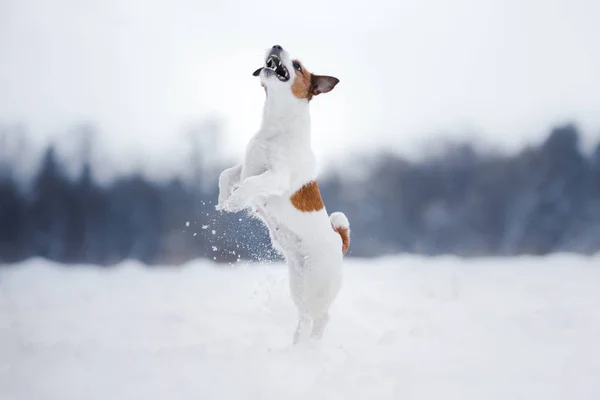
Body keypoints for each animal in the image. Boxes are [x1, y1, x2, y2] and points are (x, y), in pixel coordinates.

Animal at [216, 44, 350, 344]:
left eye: (298, 66)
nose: (276, 45)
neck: (274, 128)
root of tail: (339, 242)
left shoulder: (276, 177)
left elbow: (251, 184)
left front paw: (237, 201)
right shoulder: (246, 165)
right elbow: (227, 175)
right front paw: (223, 201)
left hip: (317, 285)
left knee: (321, 317)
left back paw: (312, 346)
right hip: (298, 283)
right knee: (304, 317)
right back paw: (297, 343)